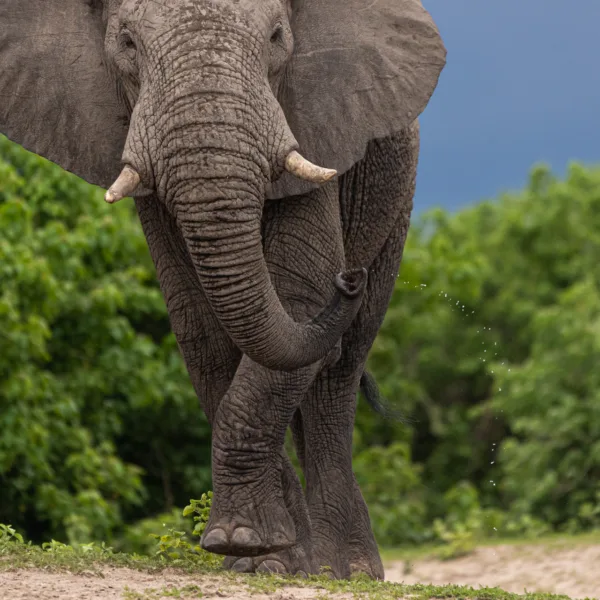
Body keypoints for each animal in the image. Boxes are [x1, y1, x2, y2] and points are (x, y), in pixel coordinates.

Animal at [1, 0, 446, 580]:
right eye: (127, 44)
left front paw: (252, 545)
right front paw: (260, 554)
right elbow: (200, 328)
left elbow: (297, 294)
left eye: (277, 37)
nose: (349, 278)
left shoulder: (314, 124)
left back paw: (344, 570)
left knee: (338, 373)